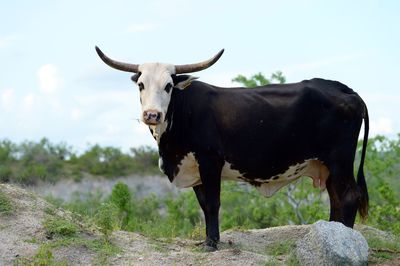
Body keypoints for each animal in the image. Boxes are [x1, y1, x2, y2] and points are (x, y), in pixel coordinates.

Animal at [94, 46, 368, 250]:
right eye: (141, 85)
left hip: (339, 161)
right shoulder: (195, 170)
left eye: (168, 86)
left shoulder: (210, 161)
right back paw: (334, 231)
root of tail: (344, 88)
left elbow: (213, 203)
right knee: (336, 198)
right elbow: (204, 205)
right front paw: (208, 239)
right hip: (327, 166)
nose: (152, 114)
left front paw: (211, 244)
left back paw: (345, 237)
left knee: (348, 196)